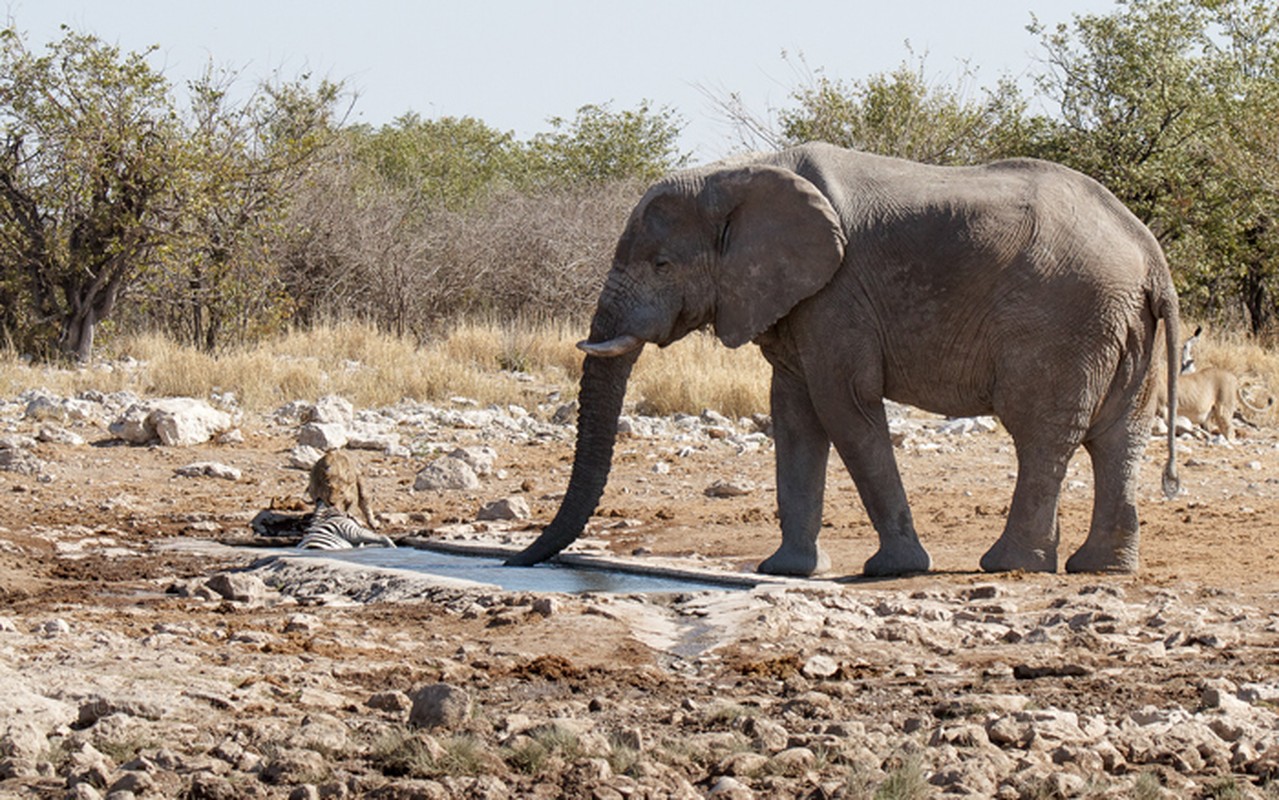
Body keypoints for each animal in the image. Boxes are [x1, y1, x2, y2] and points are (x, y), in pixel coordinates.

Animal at [503, 138, 1181, 573]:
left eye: (662, 264)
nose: (516, 561)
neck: (739, 173)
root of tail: (1150, 253)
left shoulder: (837, 294)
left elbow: (842, 407)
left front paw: (894, 569)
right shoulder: (798, 301)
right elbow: (793, 414)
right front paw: (785, 571)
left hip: (1064, 319)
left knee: (1041, 433)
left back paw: (1010, 564)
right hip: (1120, 325)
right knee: (1120, 436)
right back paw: (1101, 568)